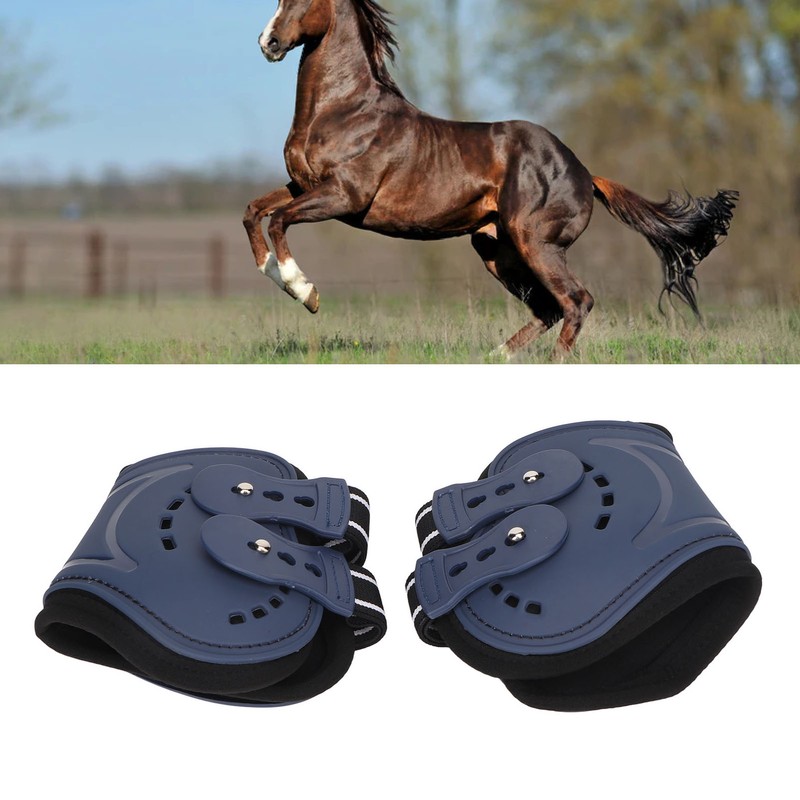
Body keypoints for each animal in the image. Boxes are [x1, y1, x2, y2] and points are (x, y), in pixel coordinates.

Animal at [243, 0, 738, 357]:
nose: (268, 42)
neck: (345, 111)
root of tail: (584, 172)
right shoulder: (304, 187)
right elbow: (254, 212)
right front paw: (273, 272)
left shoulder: (344, 197)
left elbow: (279, 221)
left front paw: (305, 292)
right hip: (496, 250)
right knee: (548, 309)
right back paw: (495, 355)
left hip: (535, 242)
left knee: (576, 301)